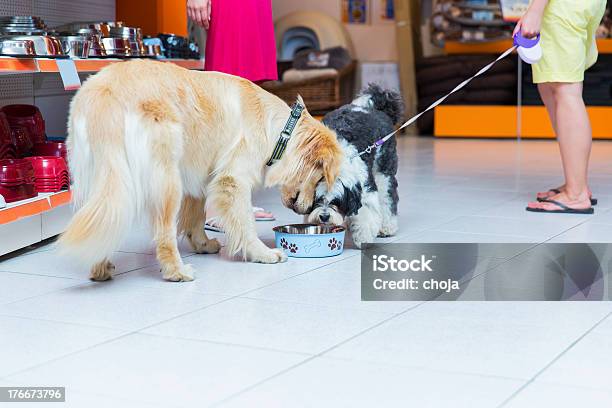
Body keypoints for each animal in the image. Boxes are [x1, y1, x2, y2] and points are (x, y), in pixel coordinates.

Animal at [306, 84, 402, 247]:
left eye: (336, 201)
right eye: (318, 199)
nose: (324, 216)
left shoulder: (365, 187)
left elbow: (366, 214)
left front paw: (363, 237)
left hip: (384, 169)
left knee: (387, 197)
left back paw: (387, 227)